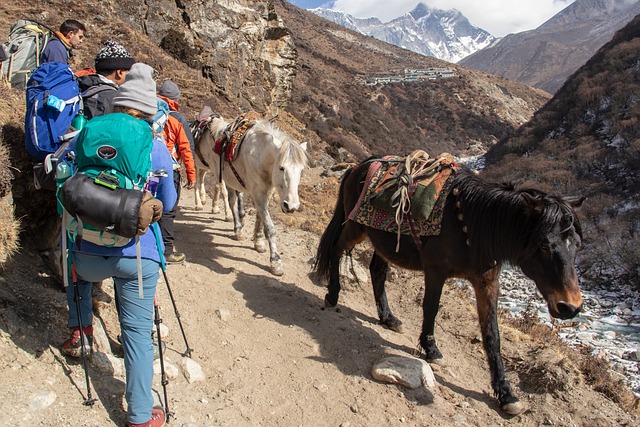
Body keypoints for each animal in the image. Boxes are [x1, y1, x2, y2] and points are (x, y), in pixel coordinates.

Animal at [194, 113, 306, 276]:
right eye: (281, 168)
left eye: (301, 170)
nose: (291, 206)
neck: (260, 155)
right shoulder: (257, 192)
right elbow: (270, 228)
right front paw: (276, 262)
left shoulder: (266, 192)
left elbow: (260, 219)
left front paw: (258, 242)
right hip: (217, 172)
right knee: (226, 197)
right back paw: (236, 229)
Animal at [316, 157, 584, 414]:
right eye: (544, 245)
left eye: (576, 245)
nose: (570, 306)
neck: (474, 226)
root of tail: (357, 167)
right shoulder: (436, 271)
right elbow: (431, 308)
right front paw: (431, 349)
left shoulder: (487, 283)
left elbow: (492, 335)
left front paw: (506, 394)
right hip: (355, 228)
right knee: (336, 249)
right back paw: (333, 295)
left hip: (384, 242)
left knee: (377, 271)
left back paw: (388, 318)